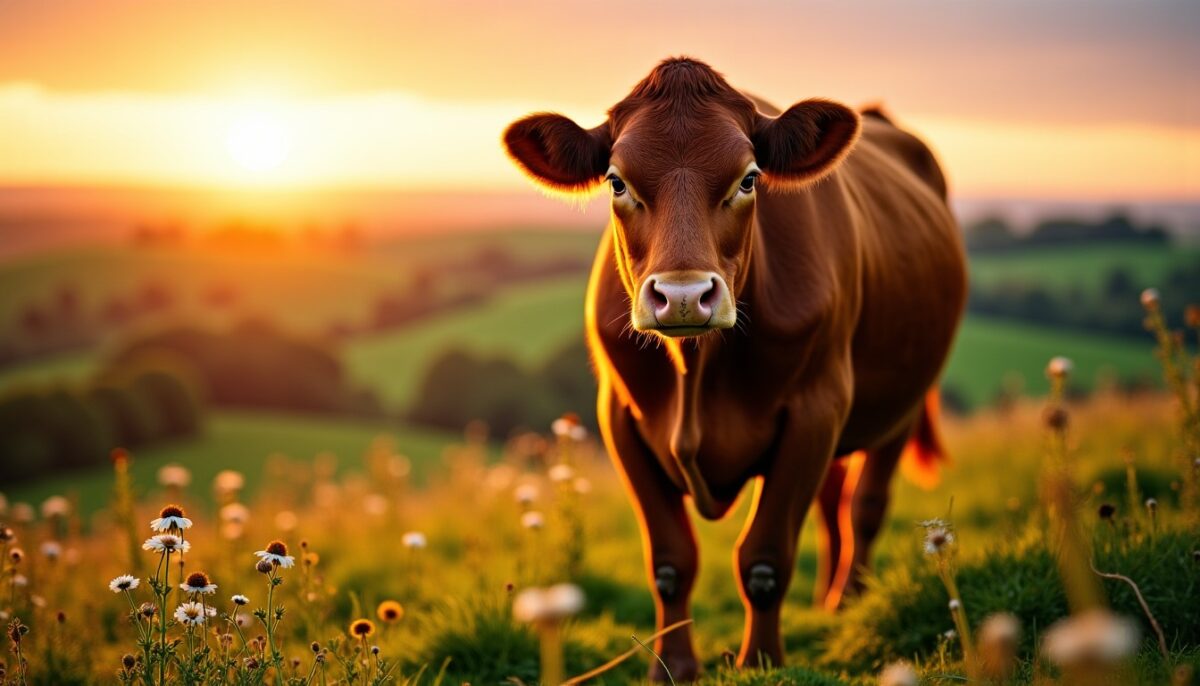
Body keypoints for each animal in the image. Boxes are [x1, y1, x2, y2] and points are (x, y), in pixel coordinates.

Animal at [503, 57, 966, 679]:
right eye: (617, 181)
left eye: (748, 179)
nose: (681, 296)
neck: (697, 372)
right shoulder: (620, 419)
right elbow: (671, 561)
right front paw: (672, 667)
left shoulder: (815, 409)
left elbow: (765, 558)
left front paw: (761, 661)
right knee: (832, 501)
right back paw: (827, 602)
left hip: (902, 400)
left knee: (865, 505)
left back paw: (850, 601)